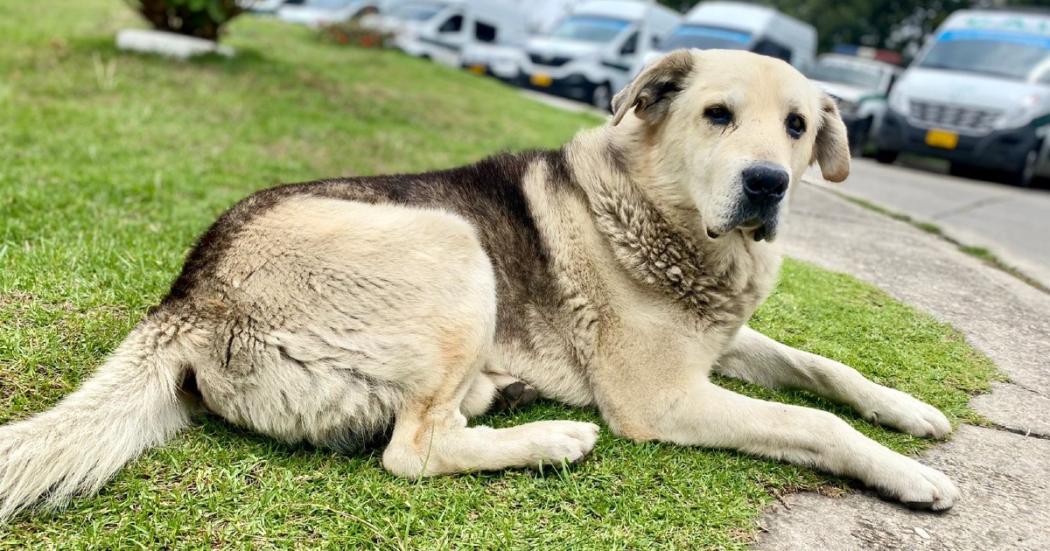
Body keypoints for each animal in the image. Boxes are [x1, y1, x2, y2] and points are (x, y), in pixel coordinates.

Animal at [0, 48, 961, 520]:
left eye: (798, 126)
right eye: (717, 115)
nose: (770, 184)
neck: (656, 216)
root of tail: (187, 293)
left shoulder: (721, 341)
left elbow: (823, 366)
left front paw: (910, 412)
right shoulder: (663, 398)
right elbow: (811, 421)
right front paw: (907, 475)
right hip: (454, 244)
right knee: (412, 450)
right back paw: (550, 439)